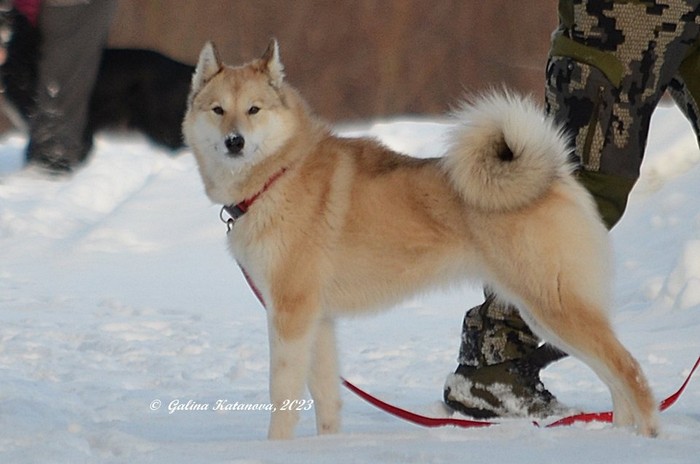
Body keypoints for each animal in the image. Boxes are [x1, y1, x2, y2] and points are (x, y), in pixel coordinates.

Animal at [182, 39, 658, 439]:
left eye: (254, 109)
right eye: (218, 110)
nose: (234, 141)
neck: (280, 173)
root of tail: (555, 176)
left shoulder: (290, 313)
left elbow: (282, 394)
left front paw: (276, 448)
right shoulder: (318, 319)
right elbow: (326, 397)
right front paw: (327, 447)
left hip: (552, 307)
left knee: (629, 370)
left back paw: (648, 436)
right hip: (548, 313)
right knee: (615, 375)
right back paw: (621, 437)